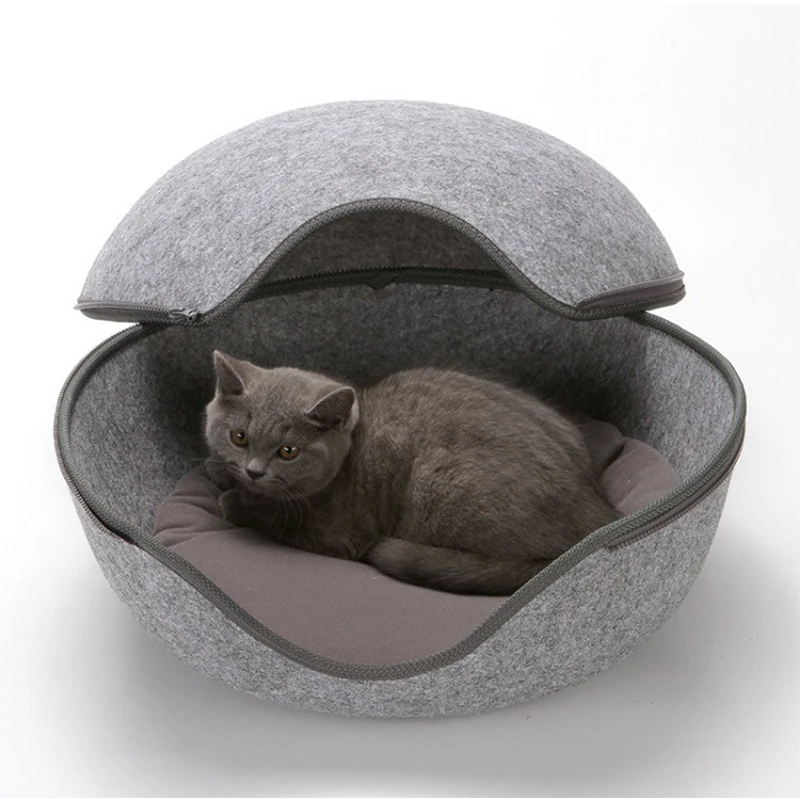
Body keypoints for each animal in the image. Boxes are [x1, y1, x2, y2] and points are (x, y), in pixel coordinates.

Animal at [204, 351, 619, 595]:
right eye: (239, 437)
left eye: (288, 451)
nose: (253, 471)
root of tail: (600, 515)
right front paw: (219, 471)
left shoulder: (341, 533)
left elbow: (278, 517)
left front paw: (235, 501)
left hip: (438, 484)